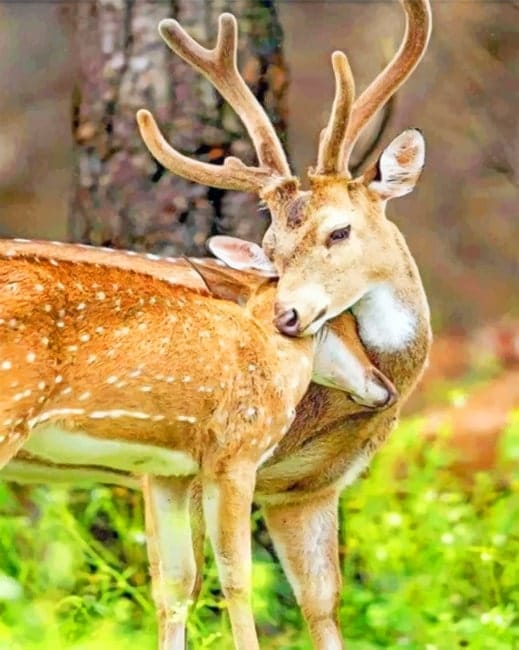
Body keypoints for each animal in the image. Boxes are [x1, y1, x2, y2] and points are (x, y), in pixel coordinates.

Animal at [0, 238, 396, 650]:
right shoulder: (236, 456)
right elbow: (237, 577)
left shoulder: (168, 472)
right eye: (341, 321)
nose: (385, 387)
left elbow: (177, 581)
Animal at [135, 1, 432, 648]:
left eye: (340, 230)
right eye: (270, 248)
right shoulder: (193, 463)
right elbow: (185, 589)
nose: (284, 315)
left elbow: (321, 603)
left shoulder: (308, 488)